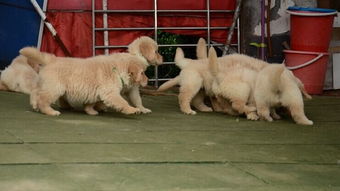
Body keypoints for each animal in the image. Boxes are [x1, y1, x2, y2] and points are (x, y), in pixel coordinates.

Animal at [19, 47, 147, 116]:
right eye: (142, 73)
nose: (147, 80)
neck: (116, 69)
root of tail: (51, 60)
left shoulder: (94, 92)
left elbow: (91, 103)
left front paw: (91, 111)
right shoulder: (110, 93)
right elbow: (122, 102)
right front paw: (132, 110)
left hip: (46, 84)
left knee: (35, 92)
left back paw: (34, 105)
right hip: (54, 88)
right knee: (43, 100)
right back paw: (51, 111)